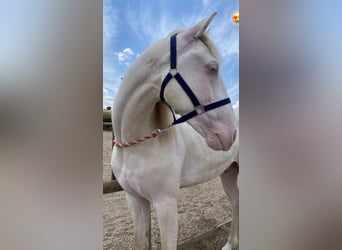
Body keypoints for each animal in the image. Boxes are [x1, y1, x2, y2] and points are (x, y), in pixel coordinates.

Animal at [111, 12, 239, 249]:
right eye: (212, 68)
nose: (230, 134)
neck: (136, 147)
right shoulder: (135, 201)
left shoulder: (166, 204)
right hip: (229, 172)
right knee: (236, 201)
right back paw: (230, 243)